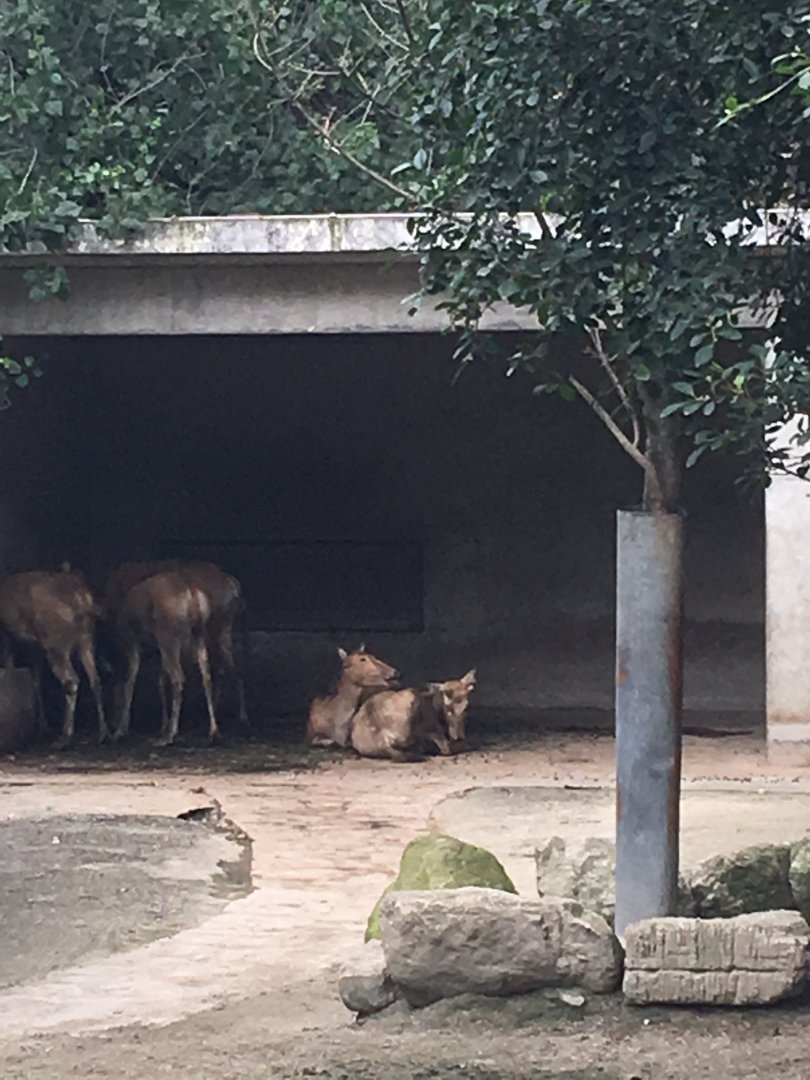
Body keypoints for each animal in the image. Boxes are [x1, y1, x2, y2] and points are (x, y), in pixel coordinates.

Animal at [0, 567, 110, 747]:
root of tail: (84, 600)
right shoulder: (35, 647)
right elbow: (36, 680)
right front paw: (42, 727)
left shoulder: (10, 638)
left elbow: (11, 665)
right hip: (87, 641)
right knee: (95, 679)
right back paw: (104, 733)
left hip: (56, 644)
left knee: (71, 680)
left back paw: (65, 736)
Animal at [105, 560, 248, 739]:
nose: (111, 721)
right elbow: (160, 679)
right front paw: (163, 724)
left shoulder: (132, 640)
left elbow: (131, 680)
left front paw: (121, 729)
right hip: (209, 634)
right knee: (217, 671)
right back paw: (217, 726)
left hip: (175, 637)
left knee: (185, 675)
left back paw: (172, 733)